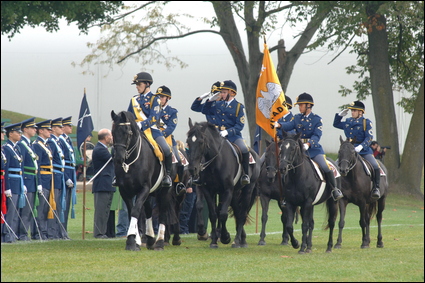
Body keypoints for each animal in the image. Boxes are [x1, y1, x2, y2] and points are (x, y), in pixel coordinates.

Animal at [111, 111, 176, 251]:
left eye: (128, 132)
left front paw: (131, 241)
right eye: (113, 132)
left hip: (165, 191)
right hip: (150, 193)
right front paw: (135, 241)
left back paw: (160, 242)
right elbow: (132, 212)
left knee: (163, 213)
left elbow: (136, 211)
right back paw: (150, 238)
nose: (118, 158)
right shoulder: (125, 191)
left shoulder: (144, 188)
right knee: (148, 211)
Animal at [186, 120, 260, 248]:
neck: (216, 162)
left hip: (247, 190)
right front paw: (213, 240)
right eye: (188, 142)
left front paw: (225, 237)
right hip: (234, 193)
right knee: (237, 211)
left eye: (201, 142)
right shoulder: (207, 189)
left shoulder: (227, 190)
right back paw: (242, 239)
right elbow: (212, 213)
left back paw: (237, 241)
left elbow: (223, 214)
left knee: (242, 214)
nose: (192, 169)